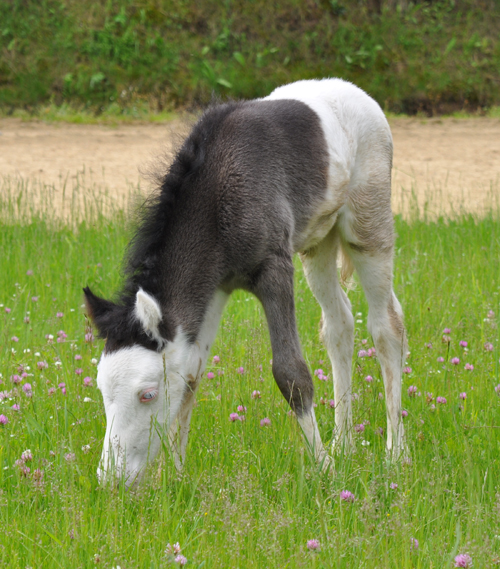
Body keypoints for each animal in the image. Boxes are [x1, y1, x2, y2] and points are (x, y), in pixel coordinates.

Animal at [84, 77, 408, 484]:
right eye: (101, 389)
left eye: (147, 394)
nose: (109, 479)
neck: (218, 192)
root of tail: (356, 93)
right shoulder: (216, 287)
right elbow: (191, 374)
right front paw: (175, 478)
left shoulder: (274, 269)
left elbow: (291, 373)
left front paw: (324, 470)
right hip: (317, 243)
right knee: (339, 325)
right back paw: (344, 445)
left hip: (367, 224)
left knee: (386, 326)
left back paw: (395, 454)